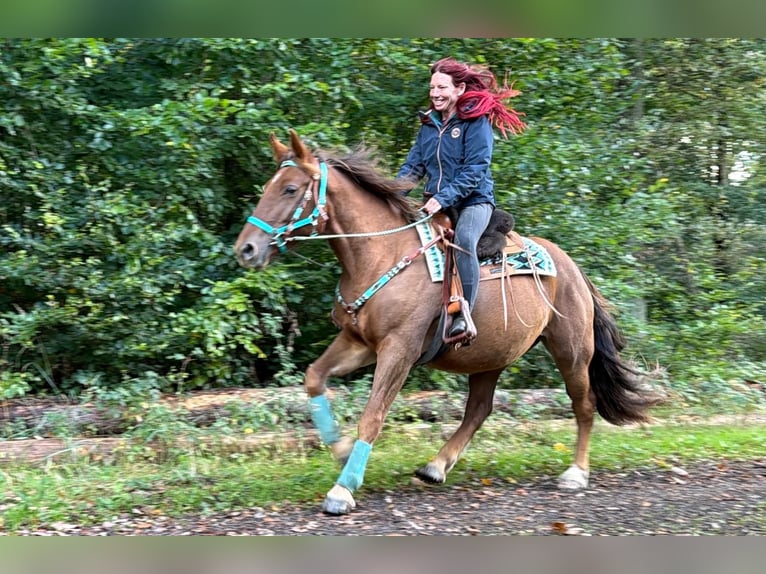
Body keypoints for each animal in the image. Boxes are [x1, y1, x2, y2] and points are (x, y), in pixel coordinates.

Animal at [234, 129, 661, 516]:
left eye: (290, 189)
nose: (247, 249)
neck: (381, 253)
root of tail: (571, 267)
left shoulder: (399, 350)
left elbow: (373, 416)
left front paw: (343, 489)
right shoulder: (358, 343)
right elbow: (314, 378)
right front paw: (340, 451)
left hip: (571, 349)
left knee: (583, 404)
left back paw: (576, 472)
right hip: (491, 354)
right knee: (479, 410)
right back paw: (436, 466)